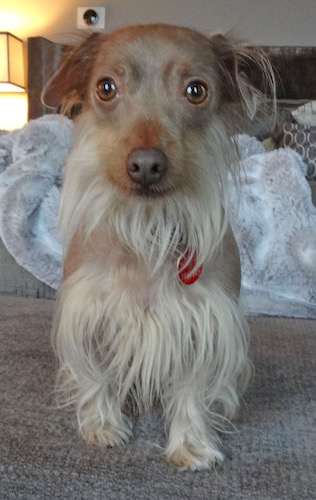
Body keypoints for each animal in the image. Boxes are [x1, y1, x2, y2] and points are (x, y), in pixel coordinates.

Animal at [42, 22, 274, 468]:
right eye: (106, 88)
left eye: (196, 91)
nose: (146, 165)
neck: (147, 228)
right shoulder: (86, 311)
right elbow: (96, 376)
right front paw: (102, 425)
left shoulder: (207, 322)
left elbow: (193, 390)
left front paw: (192, 444)